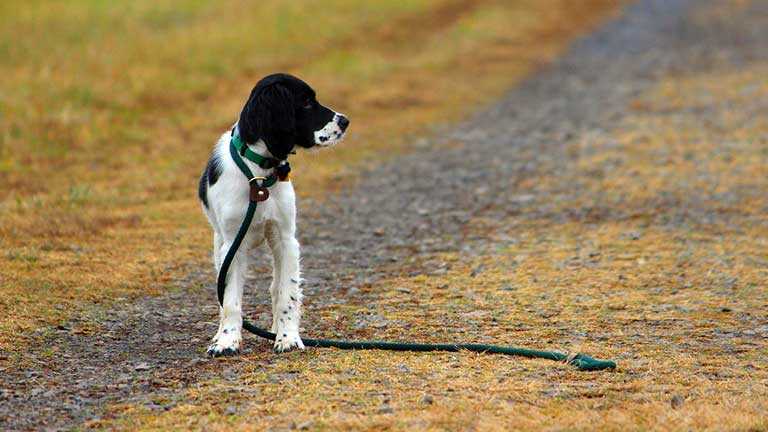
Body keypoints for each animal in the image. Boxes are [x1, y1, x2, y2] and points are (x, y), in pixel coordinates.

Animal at [196, 74, 350, 356]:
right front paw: (227, 340)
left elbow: (287, 293)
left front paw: (288, 337)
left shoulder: (286, 239)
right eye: (306, 102)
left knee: (276, 288)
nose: (345, 121)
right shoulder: (232, 245)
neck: (257, 175)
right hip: (218, 244)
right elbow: (230, 300)